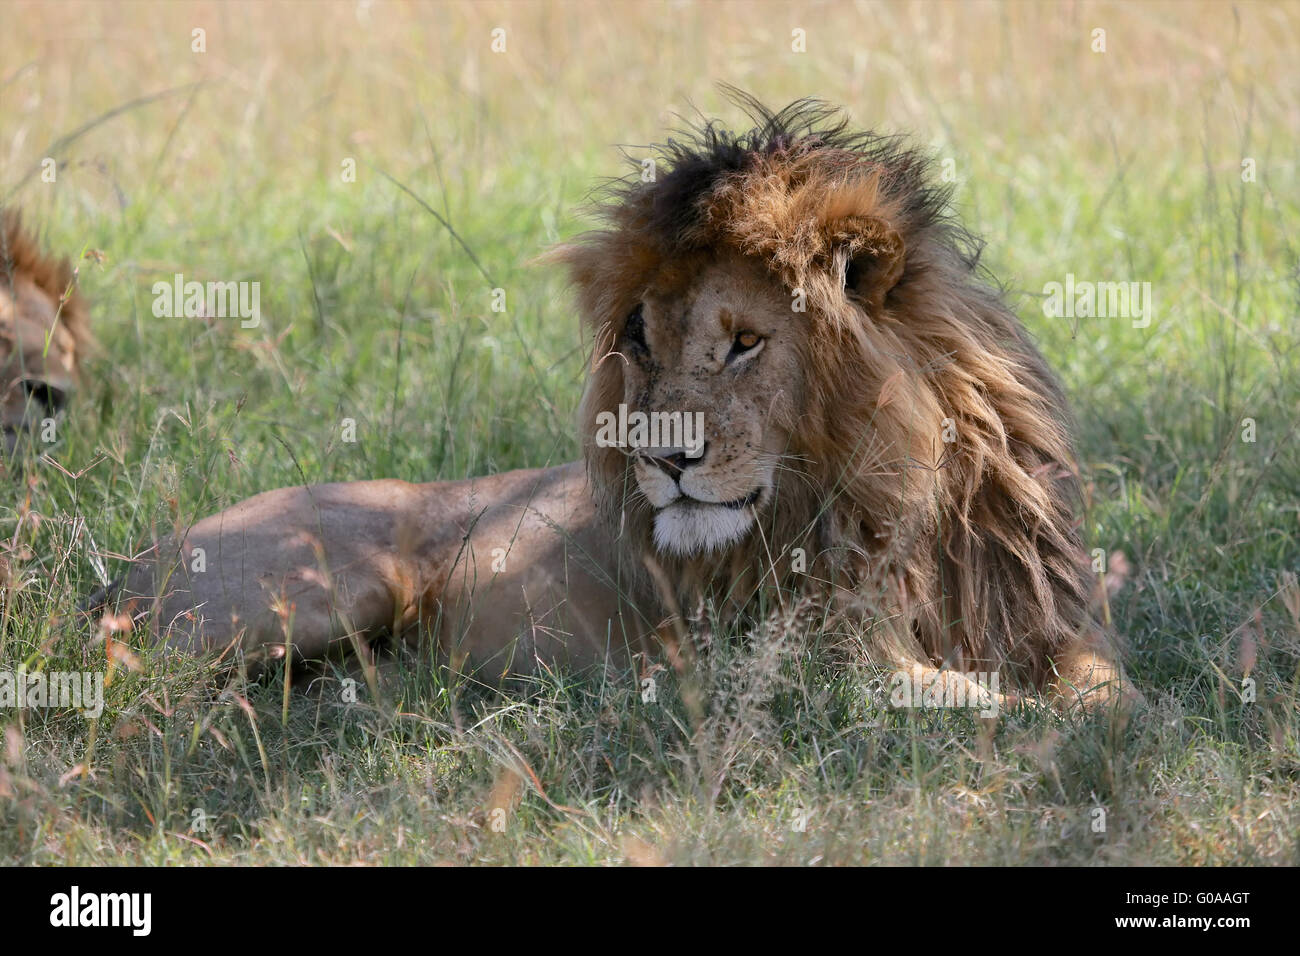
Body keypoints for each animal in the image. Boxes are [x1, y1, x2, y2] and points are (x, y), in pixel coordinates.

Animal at [101, 95, 1133, 712]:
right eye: (639, 341)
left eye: (745, 342)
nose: (663, 459)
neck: (900, 494)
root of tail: (128, 565)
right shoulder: (796, 655)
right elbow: (968, 699)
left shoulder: (1049, 621)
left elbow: (1106, 692)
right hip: (321, 587)